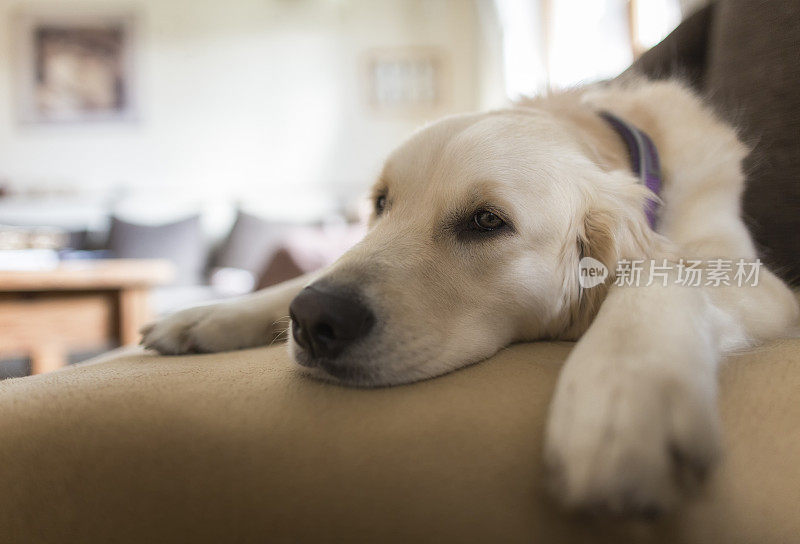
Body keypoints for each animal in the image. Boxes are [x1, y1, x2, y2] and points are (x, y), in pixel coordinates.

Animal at [144, 78, 800, 516]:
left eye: (486, 221)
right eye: (380, 203)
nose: (312, 319)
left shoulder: (753, 277)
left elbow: (654, 274)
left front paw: (620, 394)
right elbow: (296, 276)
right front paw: (207, 315)